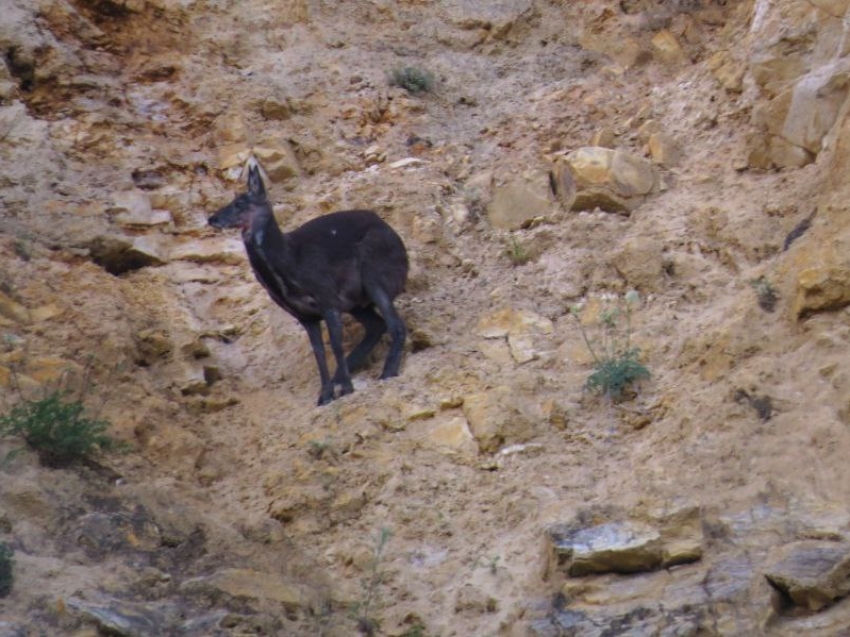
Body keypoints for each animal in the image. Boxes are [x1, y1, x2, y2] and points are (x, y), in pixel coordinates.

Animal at [208, 164, 408, 402]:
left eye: (240, 203)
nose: (212, 219)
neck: (291, 263)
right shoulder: (304, 315)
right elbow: (319, 353)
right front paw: (325, 396)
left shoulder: (328, 298)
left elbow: (336, 345)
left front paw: (346, 389)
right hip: (356, 303)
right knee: (377, 325)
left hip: (375, 276)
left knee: (395, 324)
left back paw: (387, 373)